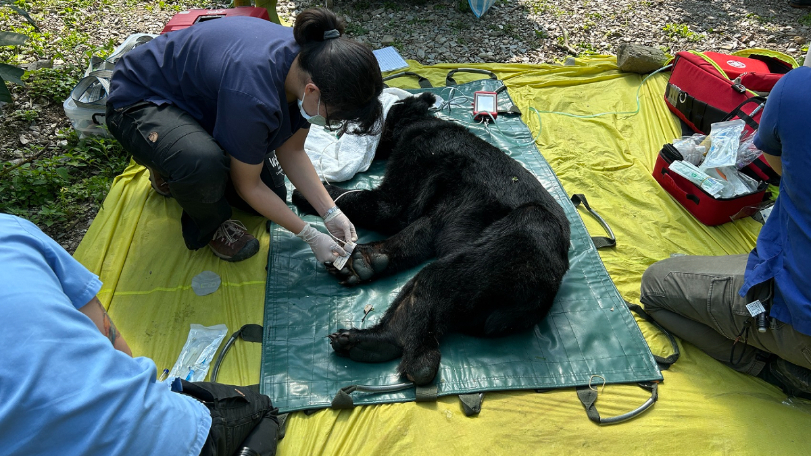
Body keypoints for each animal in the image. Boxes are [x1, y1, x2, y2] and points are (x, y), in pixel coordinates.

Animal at [294, 91, 572, 384]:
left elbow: (387, 205)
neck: (417, 121)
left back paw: (380, 345)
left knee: (434, 284)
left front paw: (310, 193)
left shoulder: (420, 154)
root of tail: (543, 296)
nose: (340, 128)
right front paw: (369, 259)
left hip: (516, 246)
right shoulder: (443, 206)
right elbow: (420, 230)